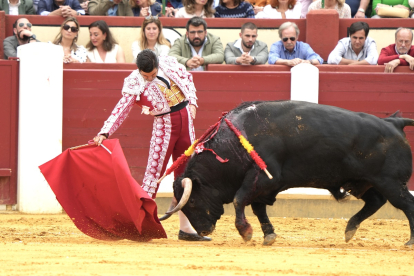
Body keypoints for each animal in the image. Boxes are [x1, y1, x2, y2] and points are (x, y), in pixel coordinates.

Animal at [162, 99, 414, 246]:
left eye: (192, 202)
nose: (203, 230)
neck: (232, 145)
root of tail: (393, 122)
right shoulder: (264, 186)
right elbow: (258, 208)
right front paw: (268, 235)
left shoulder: (263, 177)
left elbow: (239, 199)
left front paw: (246, 232)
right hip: (361, 182)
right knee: (375, 201)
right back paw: (349, 230)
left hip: (391, 182)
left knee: (406, 205)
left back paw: (410, 242)